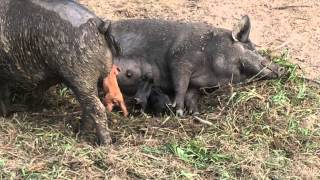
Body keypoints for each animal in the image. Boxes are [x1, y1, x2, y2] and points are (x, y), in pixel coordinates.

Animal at [0, 0, 119, 144]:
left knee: (97, 109)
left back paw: (103, 143)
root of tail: (99, 24)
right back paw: (80, 133)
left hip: (80, 77)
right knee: (88, 107)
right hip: (86, 80)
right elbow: (4, 93)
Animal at [111, 16, 284, 116]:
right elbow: (180, 83)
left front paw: (194, 113)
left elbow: (191, 95)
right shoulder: (180, 57)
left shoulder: (196, 86)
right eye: (250, 48)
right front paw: (179, 110)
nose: (280, 69)